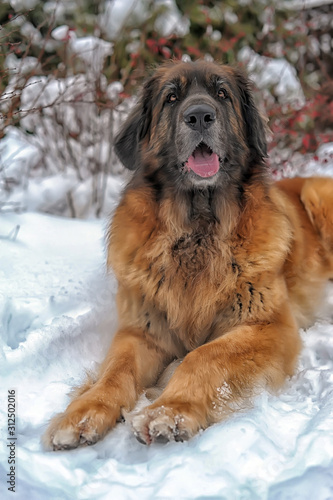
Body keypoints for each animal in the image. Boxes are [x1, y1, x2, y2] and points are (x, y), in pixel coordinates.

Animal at [43, 59, 332, 450]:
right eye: (172, 98)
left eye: (222, 94)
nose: (199, 116)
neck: (197, 231)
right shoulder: (141, 331)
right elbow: (115, 370)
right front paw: (84, 412)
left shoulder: (268, 326)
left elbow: (202, 355)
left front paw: (170, 410)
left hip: (318, 194)